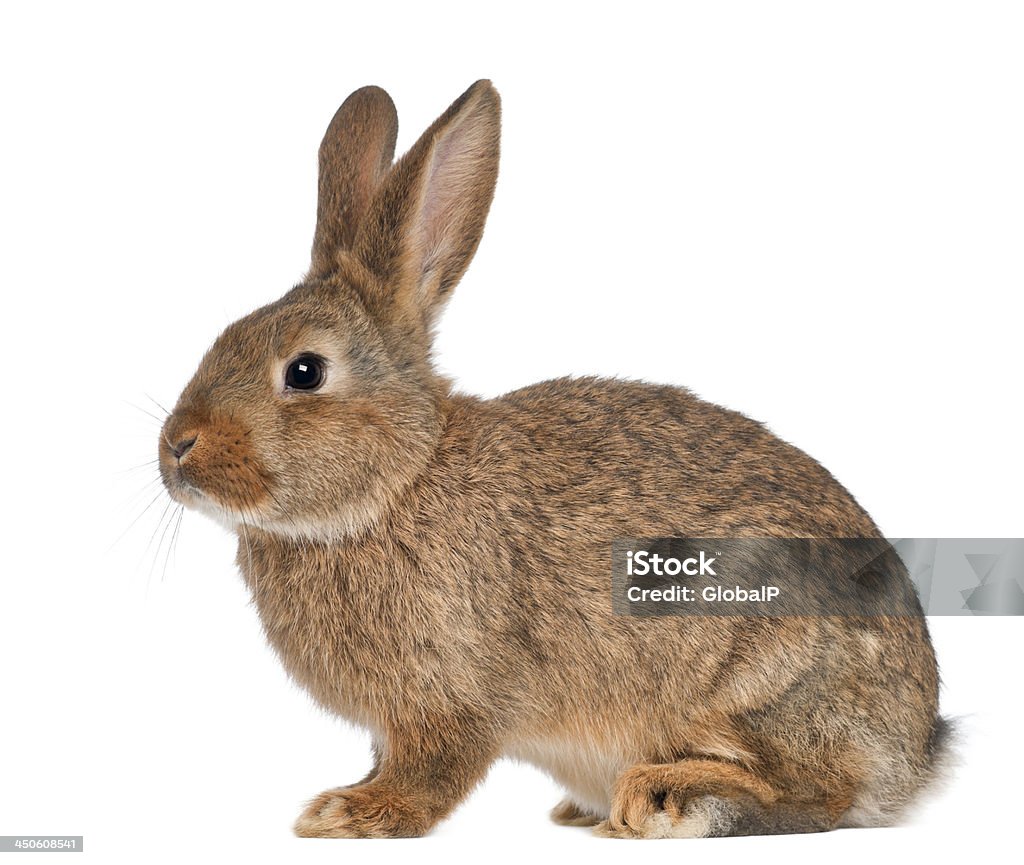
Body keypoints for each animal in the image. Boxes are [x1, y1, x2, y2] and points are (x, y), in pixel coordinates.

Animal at [155, 79, 946, 835]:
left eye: (305, 372)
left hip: (763, 675)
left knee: (820, 792)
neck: (397, 482)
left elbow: (434, 769)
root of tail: (917, 749)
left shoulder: (452, 695)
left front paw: (354, 813)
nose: (176, 446)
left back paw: (670, 797)